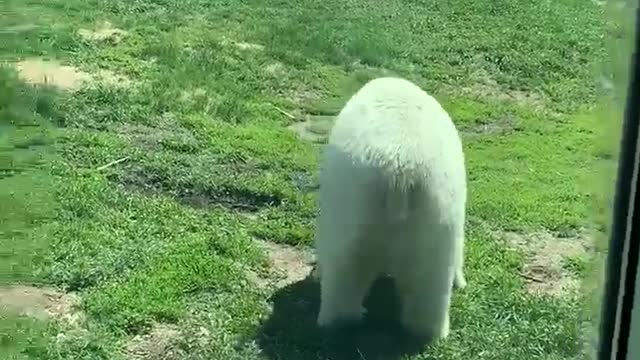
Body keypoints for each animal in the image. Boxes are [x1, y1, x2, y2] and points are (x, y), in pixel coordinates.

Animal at [314, 76, 468, 344]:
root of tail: (400, 171)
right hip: (432, 211)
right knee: (430, 281)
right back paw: (430, 331)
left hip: (358, 205)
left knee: (344, 269)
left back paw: (336, 321)